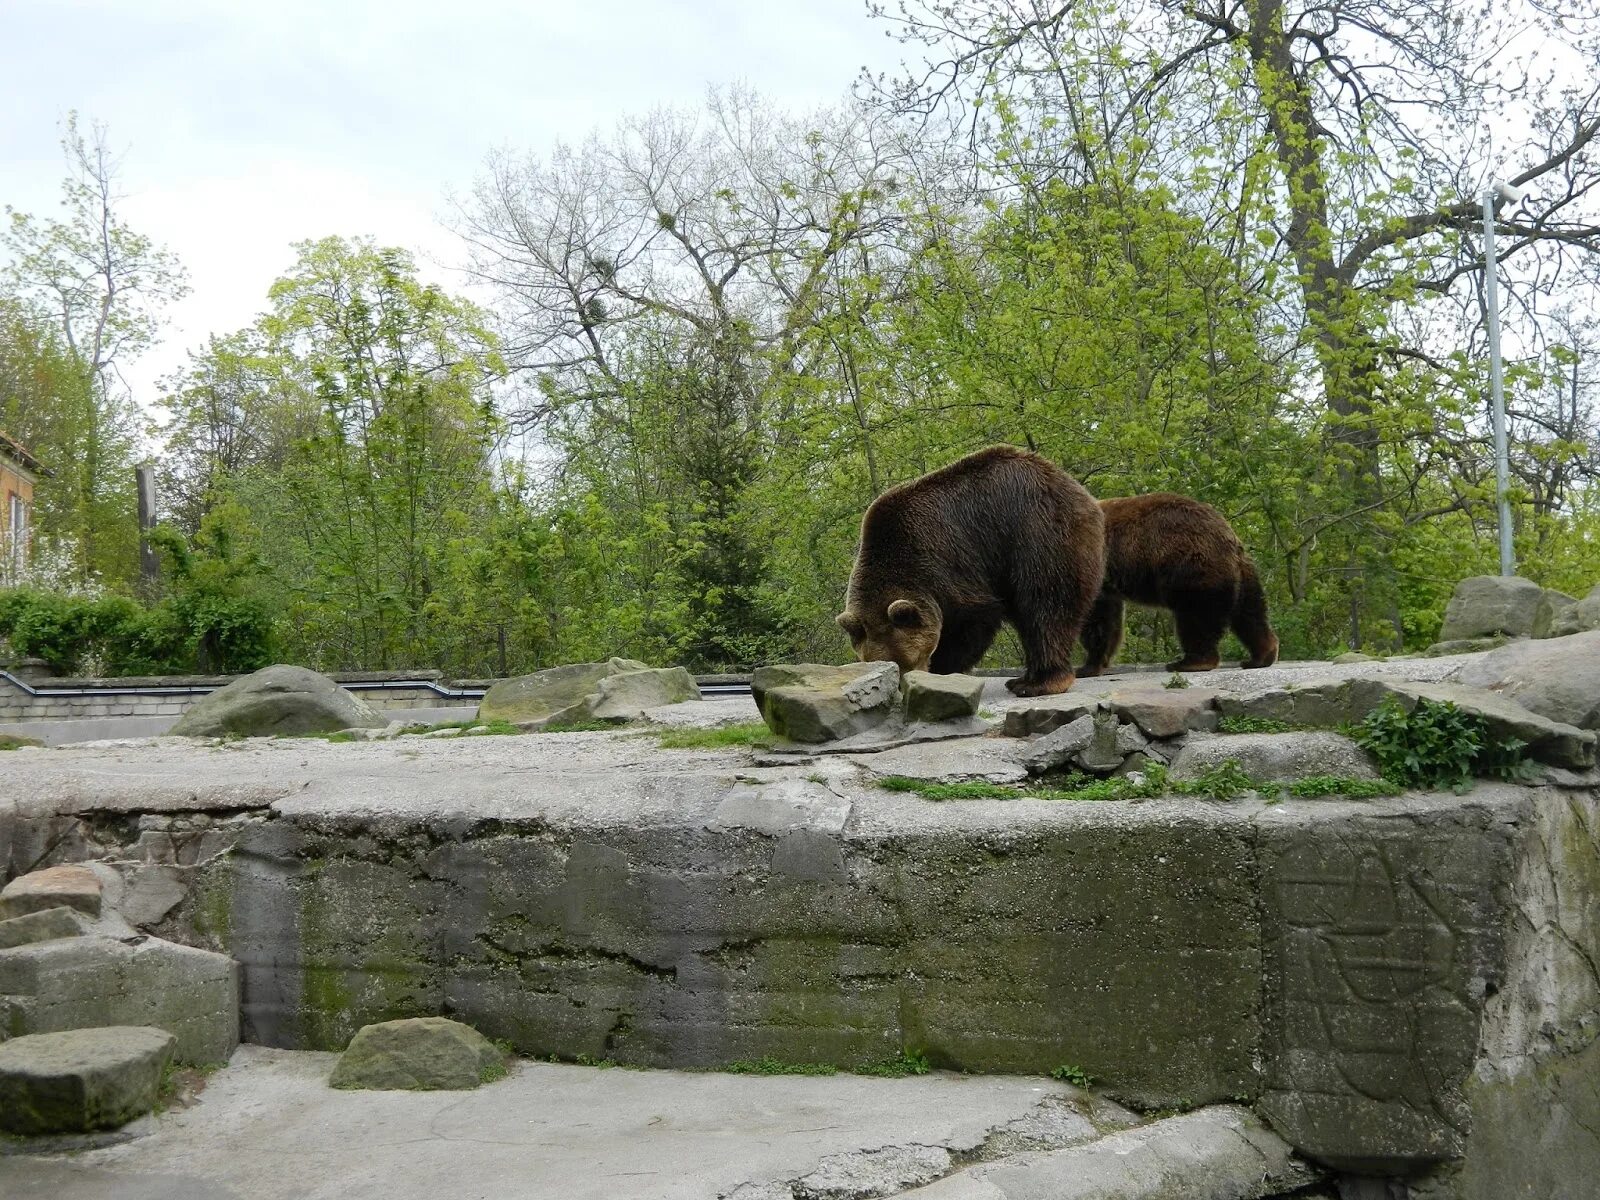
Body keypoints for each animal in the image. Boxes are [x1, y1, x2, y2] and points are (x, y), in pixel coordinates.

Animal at [832, 448, 1107, 694]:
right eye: (881, 663)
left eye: (906, 660)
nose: (900, 685)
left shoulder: (949, 565)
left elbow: (972, 621)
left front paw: (941, 671)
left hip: (1037, 536)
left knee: (1045, 607)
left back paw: (1037, 683)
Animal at [1081, 489, 1280, 678]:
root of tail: (1229, 537)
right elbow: (1111, 619)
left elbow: (1097, 618)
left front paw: (1087, 667)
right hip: (1244, 575)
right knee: (1249, 613)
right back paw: (1260, 656)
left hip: (1191, 567)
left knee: (1196, 616)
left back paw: (1189, 662)